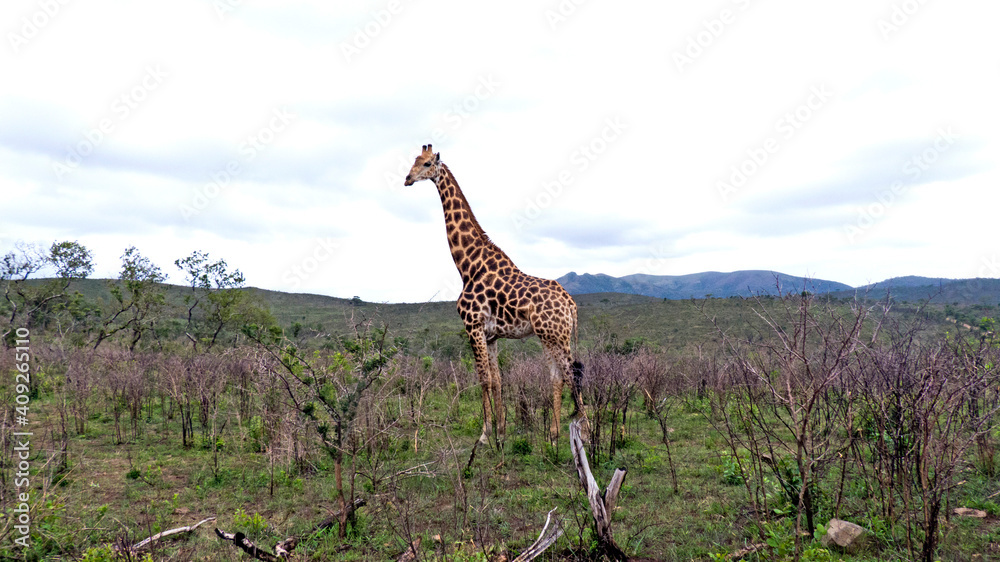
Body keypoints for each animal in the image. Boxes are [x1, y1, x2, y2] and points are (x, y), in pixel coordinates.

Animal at [404, 144, 587, 445]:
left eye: (427, 163)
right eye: (413, 161)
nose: (407, 179)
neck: (468, 266)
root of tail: (570, 303)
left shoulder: (473, 326)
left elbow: (484, 379)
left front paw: (484, 434)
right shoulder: (490, 335)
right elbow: (498, 379)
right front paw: (501, 433)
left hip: (556, 336)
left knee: (572, 374)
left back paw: (586, 433)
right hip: (549, 337)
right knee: (558, 376)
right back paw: (553, 437)